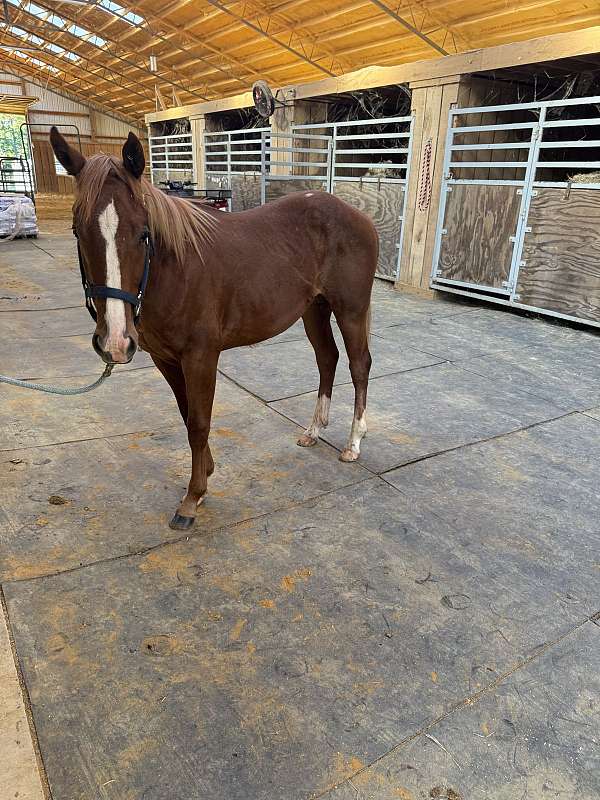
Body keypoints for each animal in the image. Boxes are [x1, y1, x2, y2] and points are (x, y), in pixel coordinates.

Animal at [50, 127, 378, 531]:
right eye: (78, 231)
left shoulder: (201, 357)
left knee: (358, 365)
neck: (175, 269)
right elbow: (186, 414)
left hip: (350, 310)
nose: (115, 342)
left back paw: (353, 444)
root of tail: (357, 214)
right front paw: (205, 474)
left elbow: (199, 422)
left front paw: (193, 498)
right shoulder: (166, 359)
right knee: (327, 359)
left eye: (143, 234)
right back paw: (314, 431)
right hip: (314, 310)